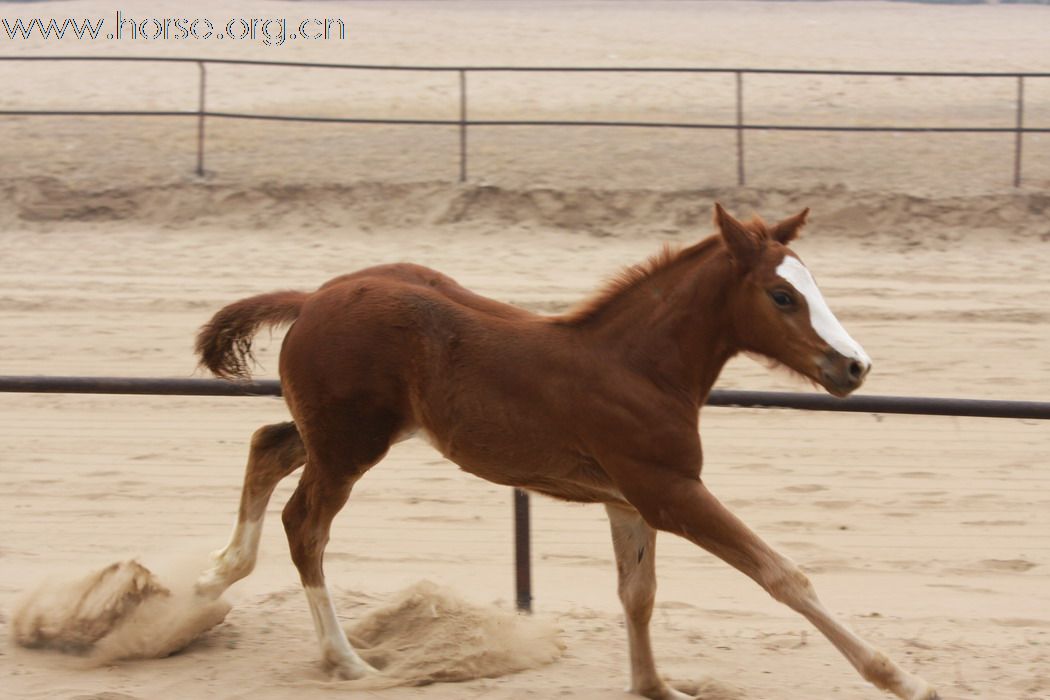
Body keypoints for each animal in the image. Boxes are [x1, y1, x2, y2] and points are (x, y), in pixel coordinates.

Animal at [193, 203, 940, 700]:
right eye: (783, 295)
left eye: (810, 285)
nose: (854, 368)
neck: (639, 367)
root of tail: (315, 295)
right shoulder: (670, 491)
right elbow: (783, 575)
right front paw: (902, 677)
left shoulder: (628, 501)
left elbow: (637, 593)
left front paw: (656, 685)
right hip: (350, 446)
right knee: (305, 525)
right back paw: (346, 660)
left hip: (344, 434)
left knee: (267, 446)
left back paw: (216, 574)